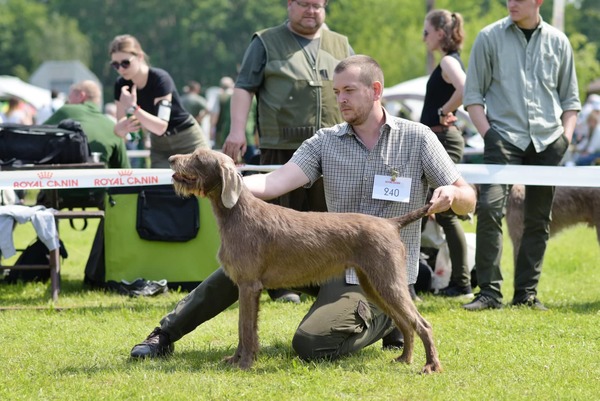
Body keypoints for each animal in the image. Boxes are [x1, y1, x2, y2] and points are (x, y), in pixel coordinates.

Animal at [169, 148, 440, 374]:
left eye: (198, 157)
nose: (172, 159)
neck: (236, 212)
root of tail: (390, 224)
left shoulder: (248, 285)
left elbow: (245, 329)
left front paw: (244, 364)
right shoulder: (247, 287)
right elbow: (244, 328)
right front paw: (236, 360)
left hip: (388, 282)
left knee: (422, 324)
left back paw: (430, 366)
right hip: (374, 285)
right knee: (405, 323)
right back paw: (404, 359)